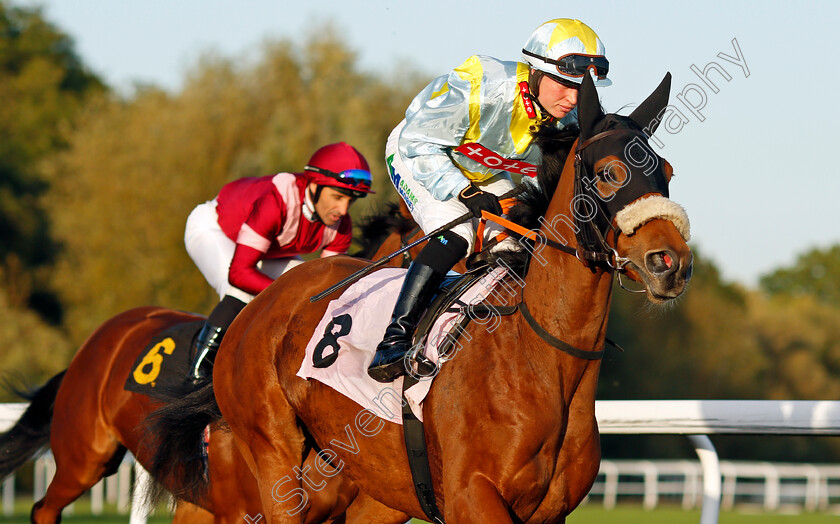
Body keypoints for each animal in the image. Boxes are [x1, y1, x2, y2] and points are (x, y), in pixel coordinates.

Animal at [148, 71, 692, 520]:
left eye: (667, 170)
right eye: (609, 172)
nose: (671, 262)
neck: (543, 357)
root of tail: (264, 303)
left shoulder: (546, 514)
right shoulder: (474, 497)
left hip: (373, 487)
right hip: (275, 463)